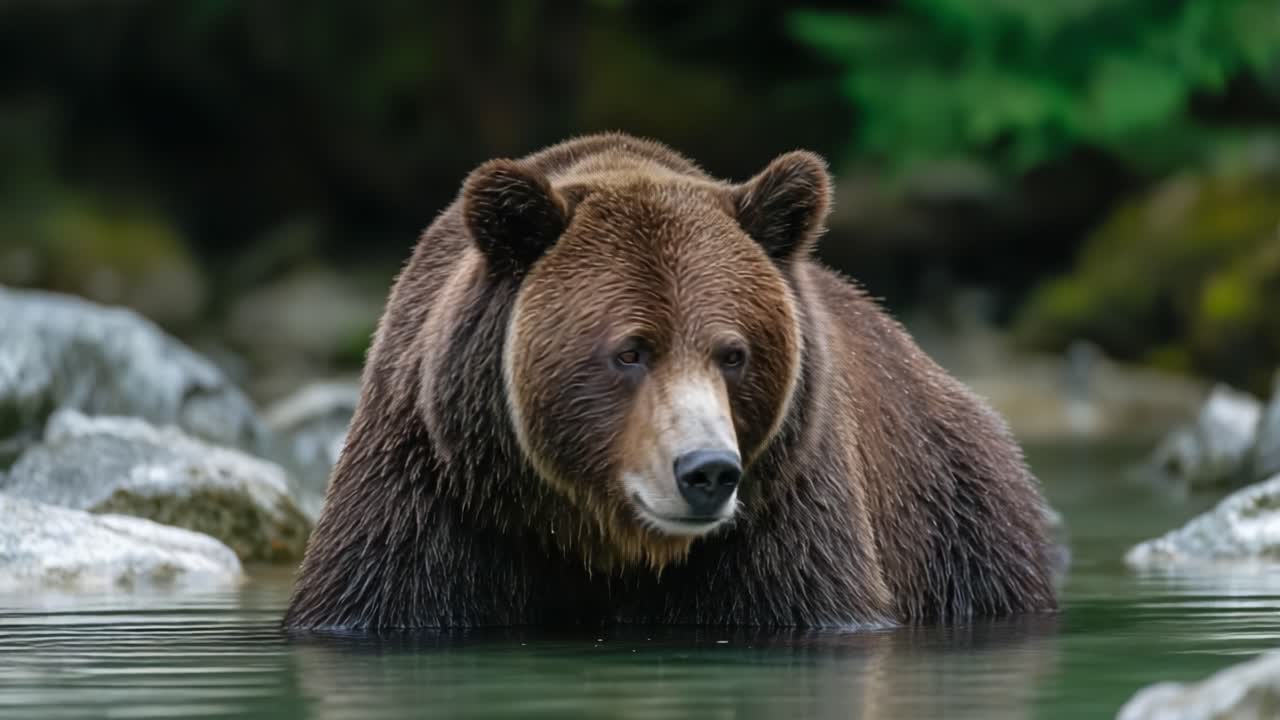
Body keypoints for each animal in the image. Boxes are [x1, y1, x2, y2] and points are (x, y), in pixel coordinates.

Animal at [282, 132, 1059, 630]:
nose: (707, 471)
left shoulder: (787, 509)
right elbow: (377, 597)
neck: (601, 542)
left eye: (733, 353)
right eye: (631, 351)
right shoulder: (434, 495)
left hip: (960, 528)